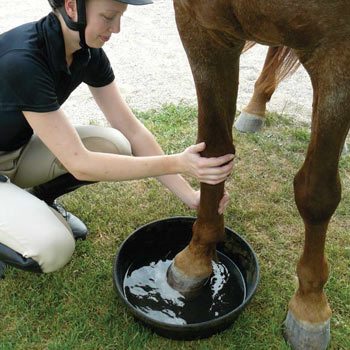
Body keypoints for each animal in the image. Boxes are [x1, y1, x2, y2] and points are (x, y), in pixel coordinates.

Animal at [167, 1, 350, 348]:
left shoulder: (337, 53)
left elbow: (316, 192)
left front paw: (310, 307)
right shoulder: (203, 28)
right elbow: (213, 152)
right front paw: (194, 261)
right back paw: (255, 107)